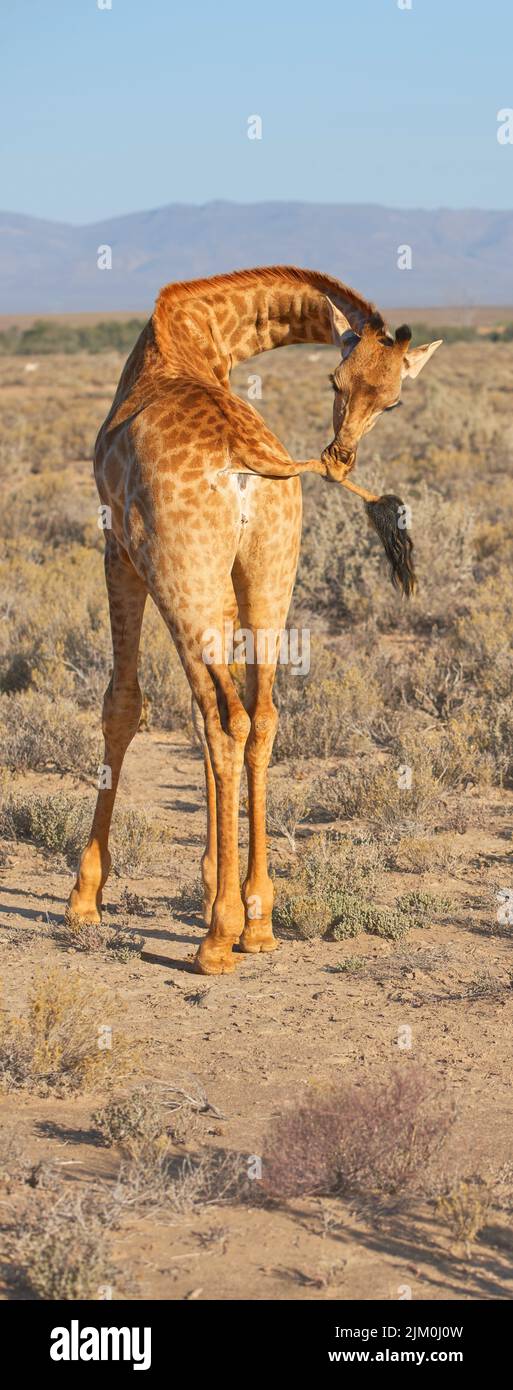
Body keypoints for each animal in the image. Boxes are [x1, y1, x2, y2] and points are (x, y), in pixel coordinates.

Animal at [68, 265, 442, 973]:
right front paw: (211, 877)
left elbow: (124, 706)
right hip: (269, 577)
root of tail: (251, 466)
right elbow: (205, 713)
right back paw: (258, 920)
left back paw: (218, 938)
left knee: (226, 721)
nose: (341, 457)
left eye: (393, 403)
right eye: (337, 381)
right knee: (261, 716)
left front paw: (85, 896)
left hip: (183, 578)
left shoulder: (116, 550)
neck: (196, 335)